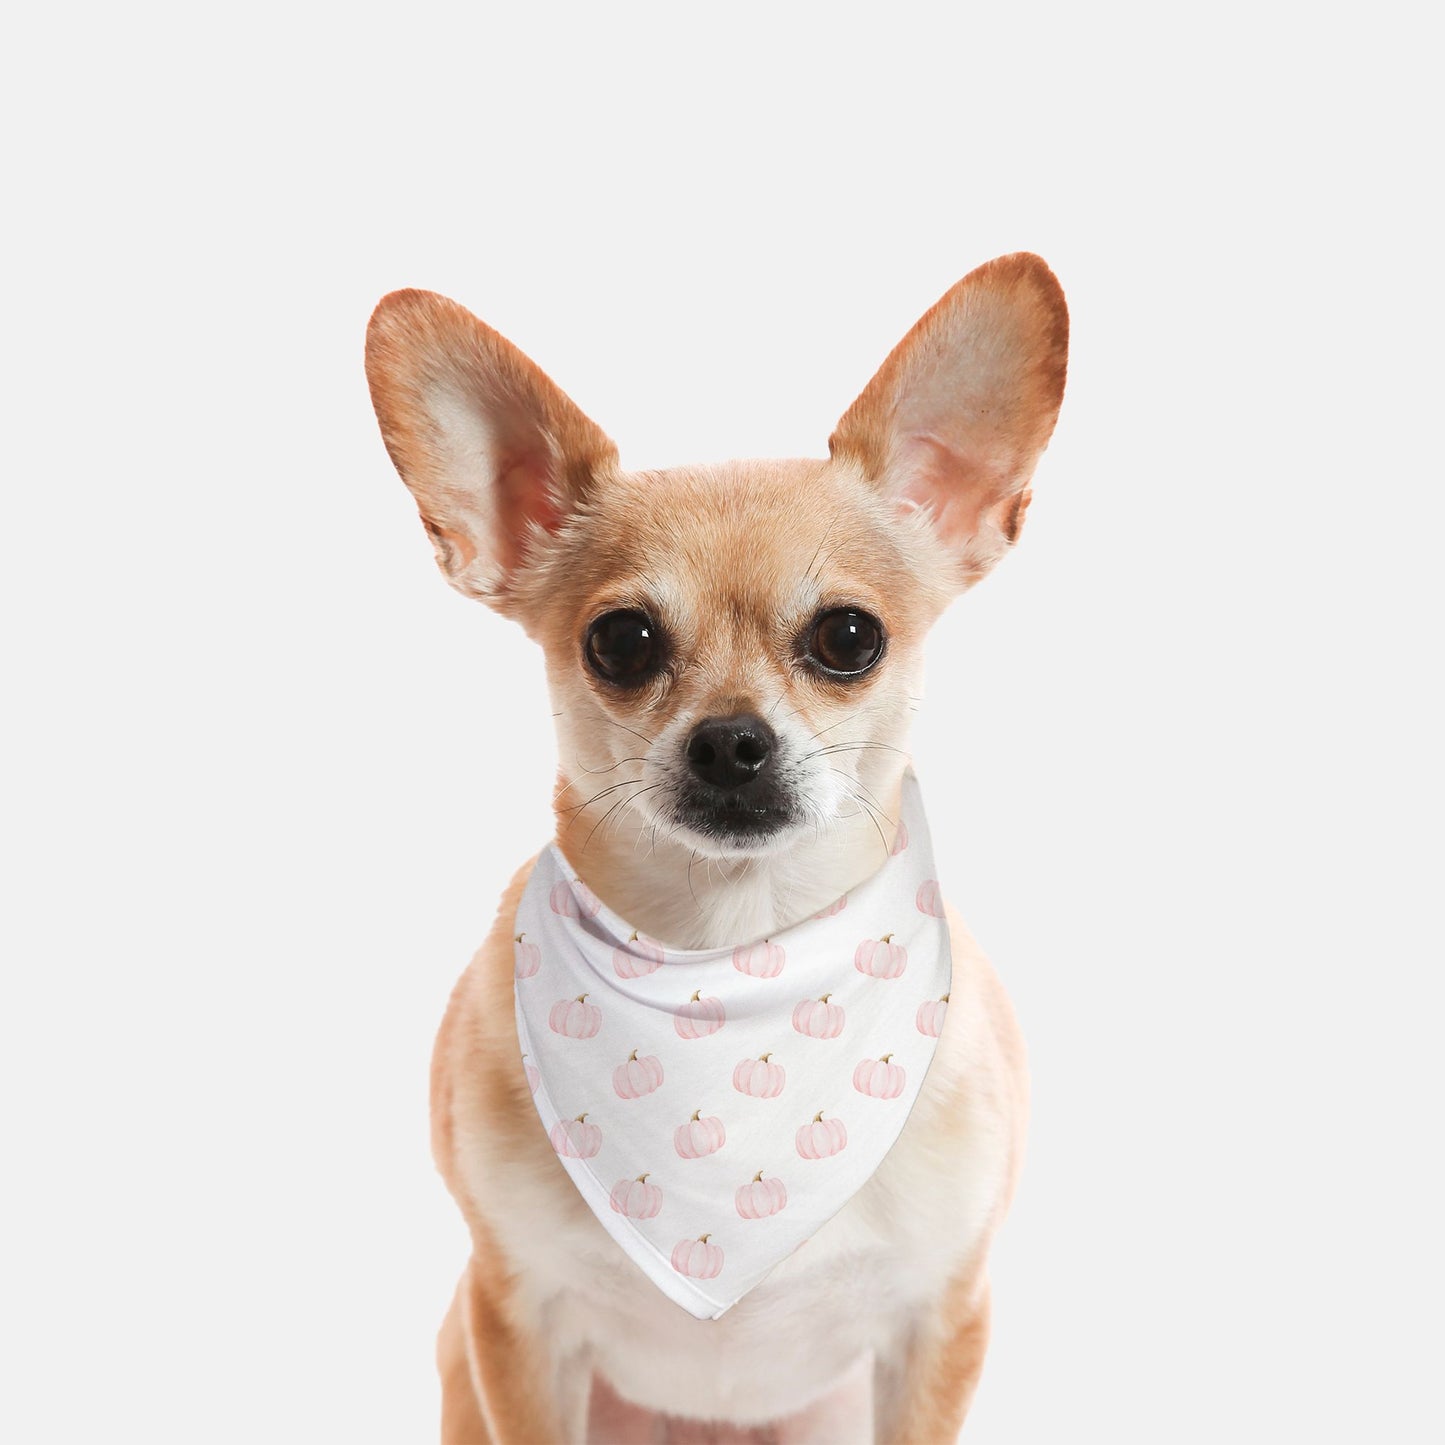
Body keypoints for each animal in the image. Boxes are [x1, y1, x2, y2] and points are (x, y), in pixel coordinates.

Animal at [367, 254, 1069, 1439]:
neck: (731, 960)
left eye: (847, 636)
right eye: (620, 640)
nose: (732, 739)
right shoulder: (514, 1319)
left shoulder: (939, 1317)